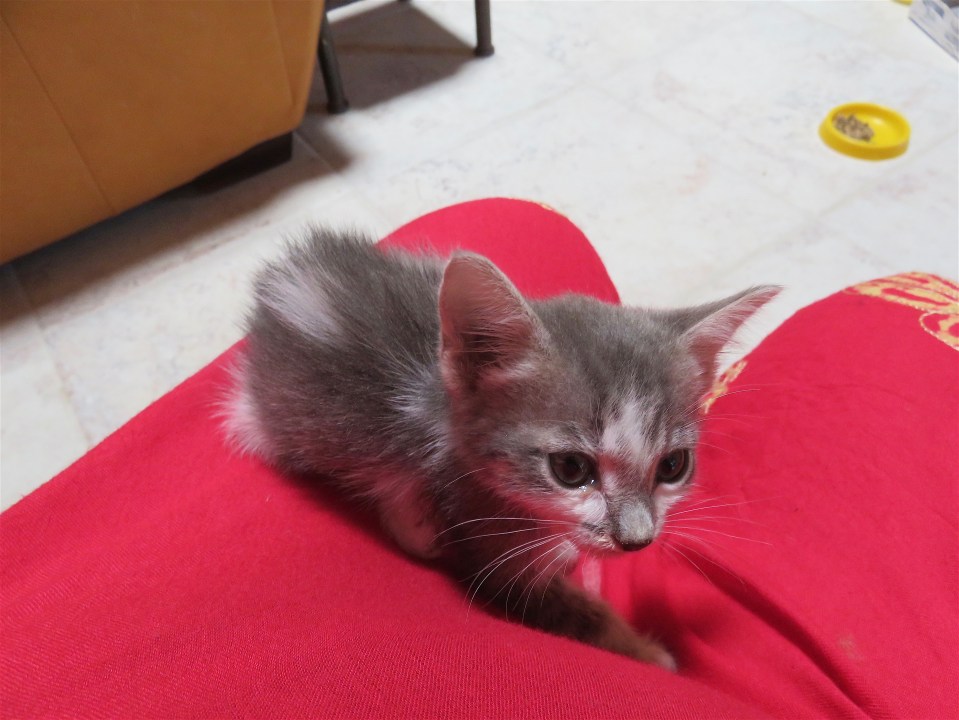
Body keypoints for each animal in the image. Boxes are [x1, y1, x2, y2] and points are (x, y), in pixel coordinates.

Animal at [224, 227, 779, 671]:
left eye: (673, 465)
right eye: (570, 468)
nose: (637, 541)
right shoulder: (486, 536)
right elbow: (565, 609)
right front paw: (649, 652)